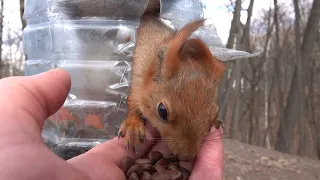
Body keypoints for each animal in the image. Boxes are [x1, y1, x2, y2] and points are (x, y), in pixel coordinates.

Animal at [117, 13, 225, 160]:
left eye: (215, 113)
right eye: (162, 111)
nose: (187, 157)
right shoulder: (135, 81)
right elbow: (132, 103)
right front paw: (133, 126)